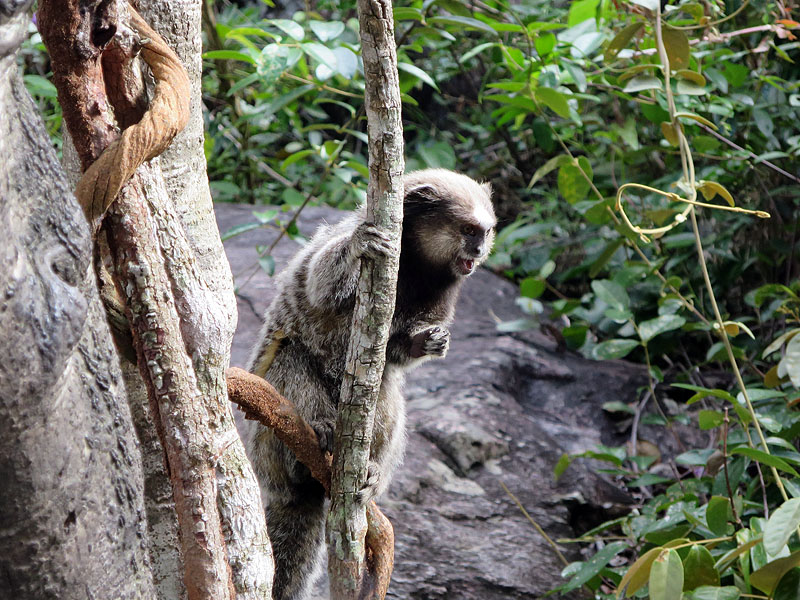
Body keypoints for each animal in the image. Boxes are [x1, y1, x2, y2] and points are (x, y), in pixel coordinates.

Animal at [241, 169, 496, 600]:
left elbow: (396, 355)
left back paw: (370, 471)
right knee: (292, 356)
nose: (478, 252)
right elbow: (319, 283)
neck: (413, 265)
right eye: (467, 230)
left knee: (386, 387)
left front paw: (428, 342)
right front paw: (359, 246)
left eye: (486, 231)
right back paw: (318, 433)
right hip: (264, 447)